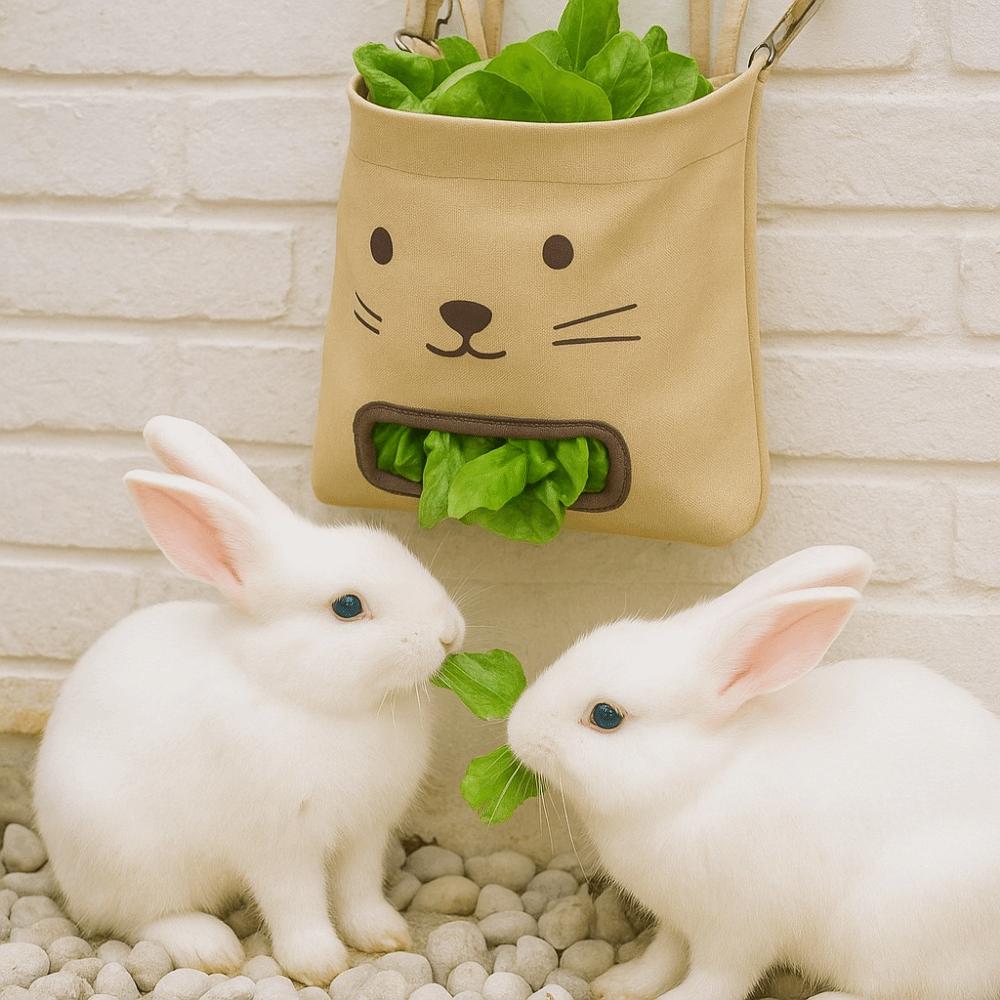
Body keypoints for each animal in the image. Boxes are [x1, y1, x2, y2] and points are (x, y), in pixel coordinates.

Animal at [34, 416, 465, 985]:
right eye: (348, 606)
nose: (449, 634)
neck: (301, 693)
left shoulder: (364, 833)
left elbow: (358, 890)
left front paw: (384, 935)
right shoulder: (280, 844)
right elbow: (296, 903)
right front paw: (319, 964)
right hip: (131, 858)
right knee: (136, 918)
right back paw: (208, 947)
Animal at [507, 546, 1000, 1000]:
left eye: (606, 715)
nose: (516, 728)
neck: (699, 779)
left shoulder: (737, 931)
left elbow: (718, 979)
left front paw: (676, 998)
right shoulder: (677, 920)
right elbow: (664, 955)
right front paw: (619, 984)